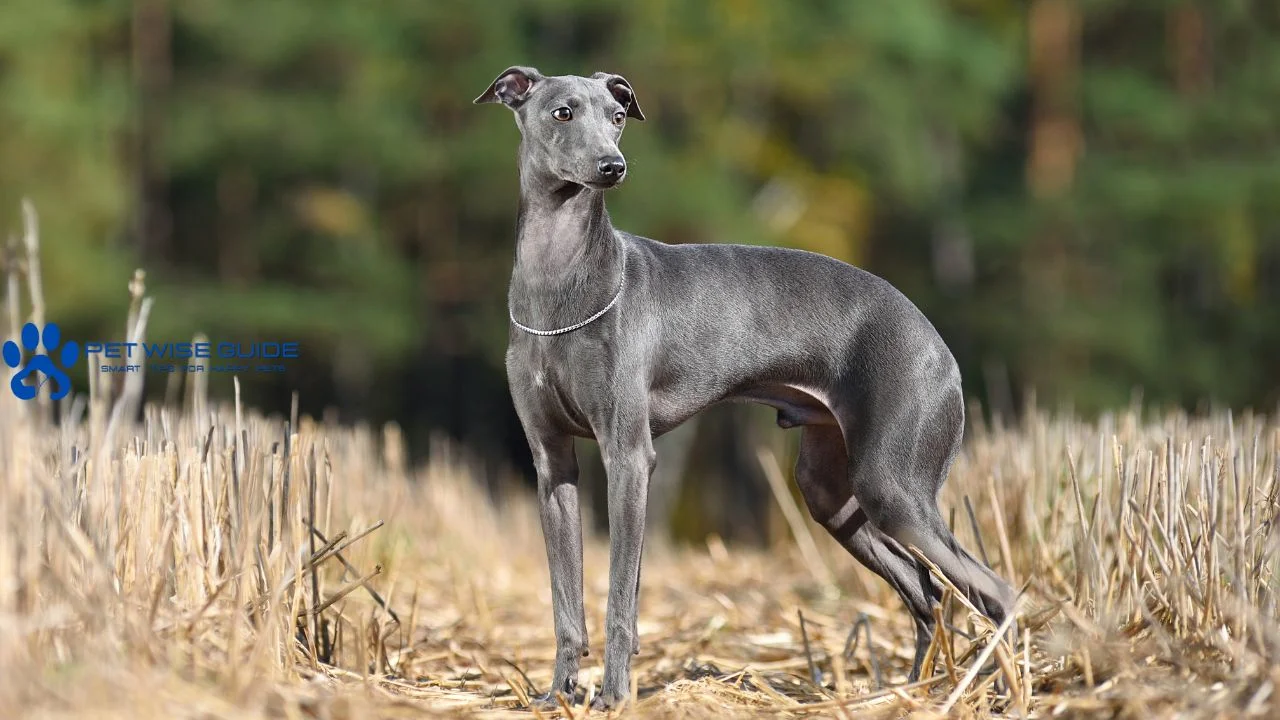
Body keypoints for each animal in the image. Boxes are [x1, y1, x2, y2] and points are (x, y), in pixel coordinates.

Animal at [476, 64, 1013, 702]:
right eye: (562, 112)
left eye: (616, 116)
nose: (613, 166)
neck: (559, 285)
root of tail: (938, 344)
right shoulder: (552, 463)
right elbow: (565, 601)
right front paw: (558, 694)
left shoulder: (628, 457)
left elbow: (621, 597)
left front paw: (614, 696)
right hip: (832, 494)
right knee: (925, 591)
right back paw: (909, 693)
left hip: (892, 486)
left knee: (994, 591)